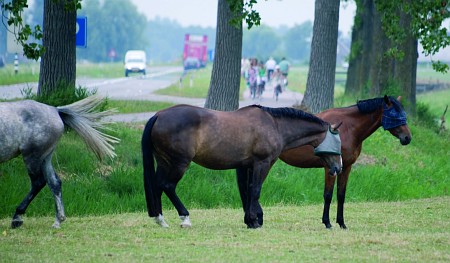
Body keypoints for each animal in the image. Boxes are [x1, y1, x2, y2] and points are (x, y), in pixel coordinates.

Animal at [0, 96, 119, 230]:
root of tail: (54, 110)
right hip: (45, 158)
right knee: (54, 183)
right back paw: (58, 220)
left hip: (32, 157)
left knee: (38, 183)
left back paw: (17, 218)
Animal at [142, 104, 342, 229]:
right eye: (337, 142)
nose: (338, 168)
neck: (275, 125)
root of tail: (158, 115)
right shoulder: (263, 163)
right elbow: (255, 190)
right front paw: (254, 220)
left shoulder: (248, 166)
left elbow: (249, 190)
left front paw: (252, 220)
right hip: (179, 163)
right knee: (168, 186)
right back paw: (185, 218)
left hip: (164, 162)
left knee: (158, 186)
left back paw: (161, 220)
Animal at [278, 96, 412, 230]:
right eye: (394, 115)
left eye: (403, 113)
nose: (407, 138)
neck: (347, 128)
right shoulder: (330, 168)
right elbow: (328, 195)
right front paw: (327, 222)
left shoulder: (346, 167)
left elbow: (341, 195)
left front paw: (341, 223)